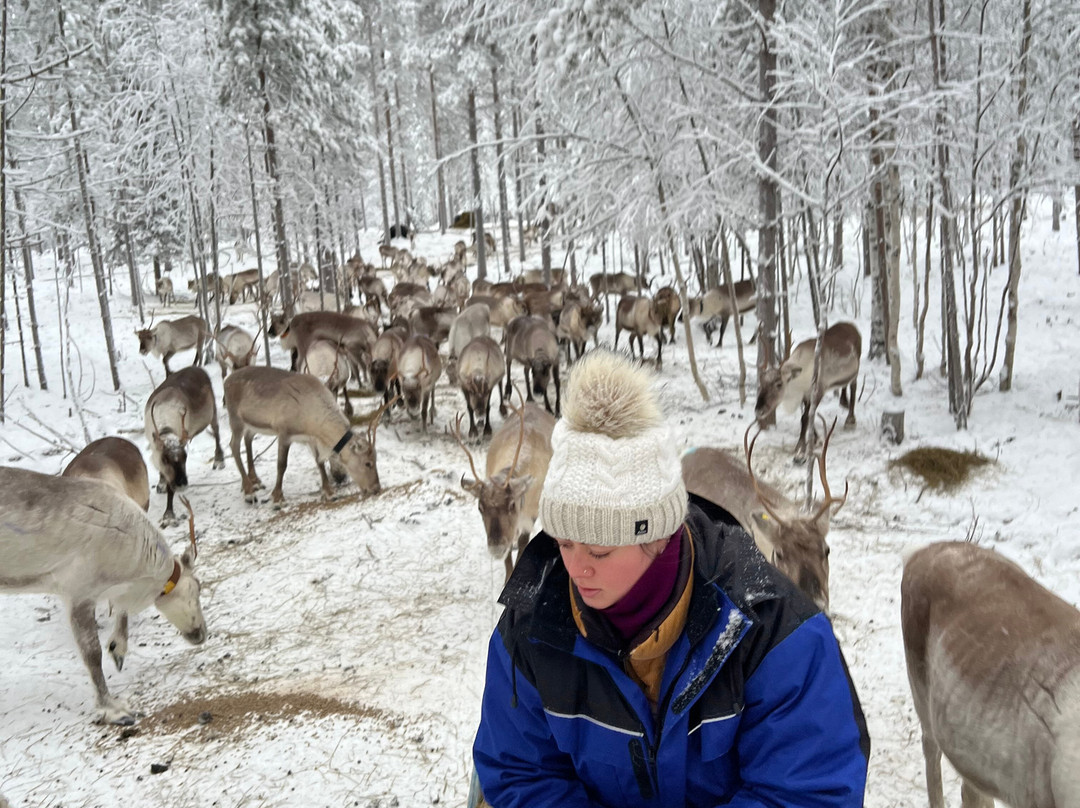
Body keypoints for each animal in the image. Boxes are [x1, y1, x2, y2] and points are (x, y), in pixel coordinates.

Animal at [0, 466, 206, 725]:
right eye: (198, 587)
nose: (202, 634)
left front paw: (118, 649)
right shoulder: (78, 590)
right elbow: (92, 654)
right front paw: (113, 708)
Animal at [144, 366, 227, 526]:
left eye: (185, 456)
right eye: (165, 459)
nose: (182, 483)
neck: (166, 429)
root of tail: (197, 368)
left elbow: (171, 489)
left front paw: (168, 516)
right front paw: (161, 483)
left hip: (212, 410)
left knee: (216, 430)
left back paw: (219, 460)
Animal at [223, 365, 386, 505]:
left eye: (376, 459)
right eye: (368, 463)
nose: (376, 488)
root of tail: (226, 381)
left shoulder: (310, 439)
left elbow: (319, 462)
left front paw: (329, 493)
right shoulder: (284, 432)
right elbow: (281, 465)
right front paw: (277, 498)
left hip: (251, 424)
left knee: (248, 439)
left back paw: (255, 481)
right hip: (235, 419)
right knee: (233, 445)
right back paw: (249, 492)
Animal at [455, 401, 557, 582]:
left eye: (512, 505)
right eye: (480, 508)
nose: (496, 548)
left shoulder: (531, 513)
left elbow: (524, 542)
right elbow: (509, 552)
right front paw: (507, 578)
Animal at [755, 321, 861, 462]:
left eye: (779, 384)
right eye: (761, 383)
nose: (759, 410)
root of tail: (852, 325)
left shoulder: (818, 391)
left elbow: (805, 417)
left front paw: (801, 448)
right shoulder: (805, 396)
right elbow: (809, 415)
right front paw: (817, 439)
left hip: (856, 369)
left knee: (853, 387)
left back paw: (850, 420)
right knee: (844, 386)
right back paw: (844, 401)